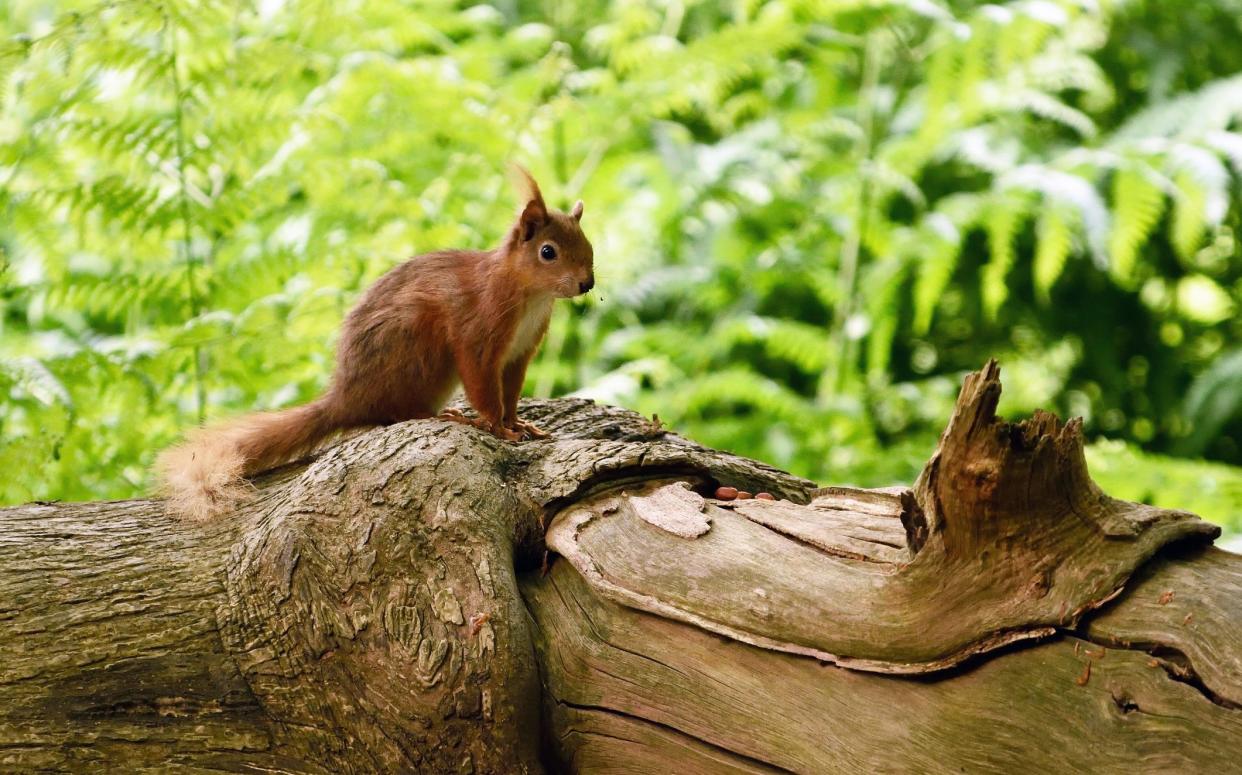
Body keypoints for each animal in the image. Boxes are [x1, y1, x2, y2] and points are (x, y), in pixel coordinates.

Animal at [157, 165, 593, 516]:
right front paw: (498, 429)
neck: (531, 295)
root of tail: (347, 398)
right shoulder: (479, 332)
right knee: (393, 412)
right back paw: (440, 416)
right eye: (548, 252)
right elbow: (483, 385)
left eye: (588, 246)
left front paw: (517, 423)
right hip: (415, 343)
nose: (587, 284)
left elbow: (511, 392)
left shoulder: (520, 352)